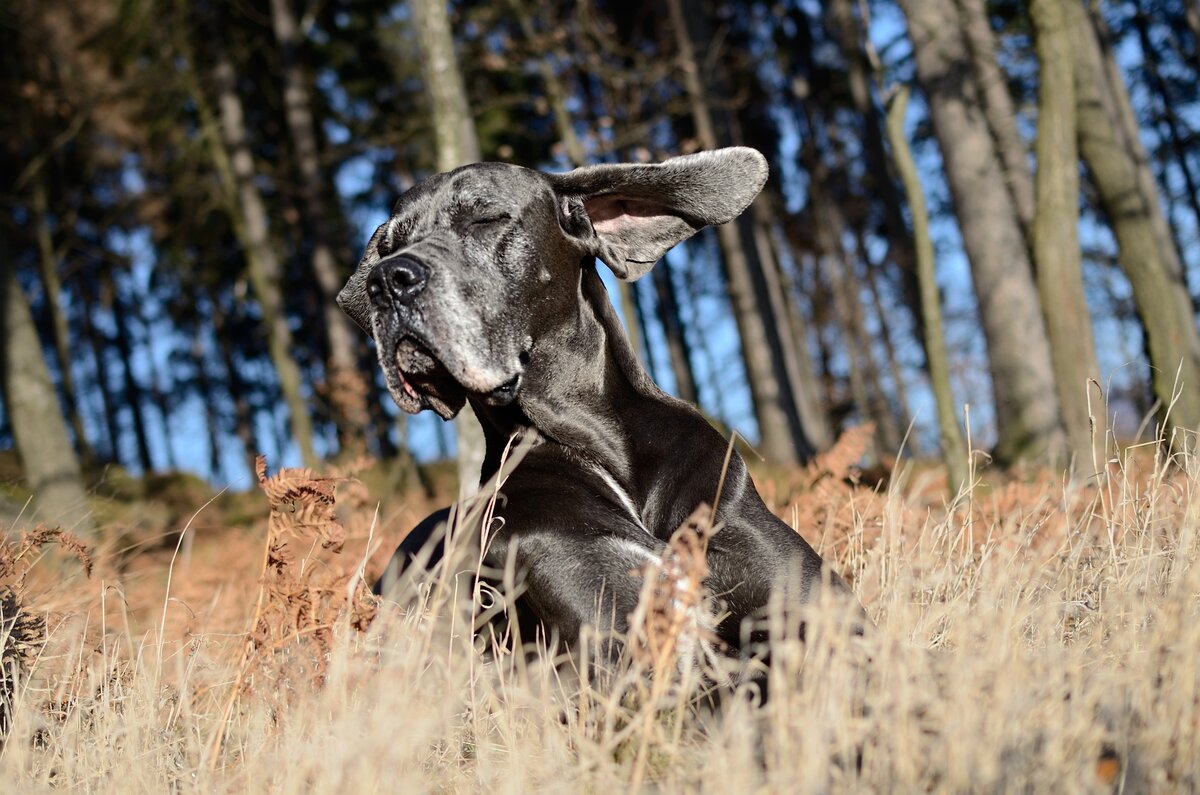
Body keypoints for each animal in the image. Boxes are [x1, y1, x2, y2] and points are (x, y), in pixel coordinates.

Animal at [338, 146, 864, 667]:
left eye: (485, 219)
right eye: (387, 247)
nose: (386, 280)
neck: (600, 448)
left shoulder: (825, 618)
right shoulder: (628, 645)